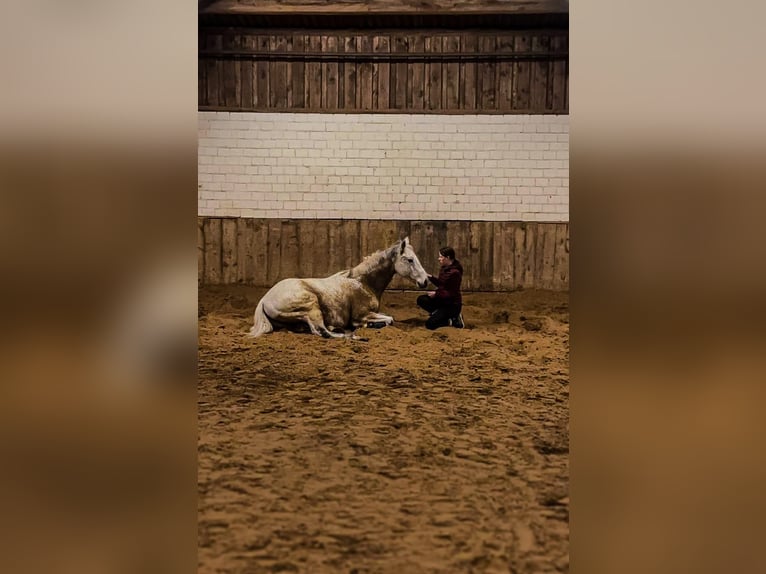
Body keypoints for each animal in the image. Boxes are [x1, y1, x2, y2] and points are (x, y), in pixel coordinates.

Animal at [252, 237, 432, 340]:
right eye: (409, 259)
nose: (424, 281)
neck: (363, 282)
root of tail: (264, 300)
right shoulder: (363, 315)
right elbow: (389, 319)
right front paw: (368, 325)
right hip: (311, 308)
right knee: (322, 332)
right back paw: (349, 335)